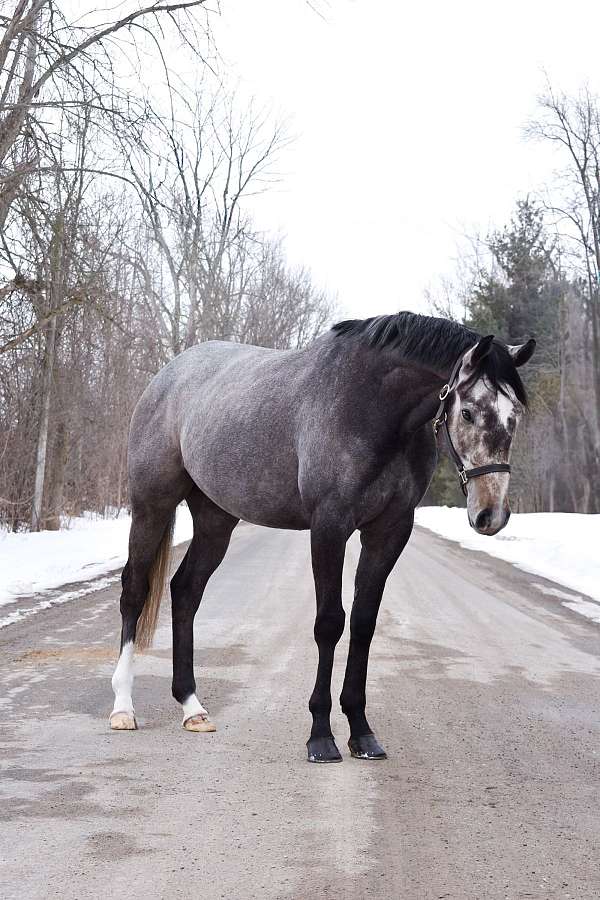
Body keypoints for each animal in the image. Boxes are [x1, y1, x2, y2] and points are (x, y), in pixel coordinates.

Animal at [110, 312, 536, 764]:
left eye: (514, 416)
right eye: (469, 412)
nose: (490, 515)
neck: (370, 407)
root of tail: (167, 377)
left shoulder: (389, 531)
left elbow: (364, 623)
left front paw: (362, 733)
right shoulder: (329, 527)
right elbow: (329, 623)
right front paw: (321, 736)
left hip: (215, 520)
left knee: (186, 590)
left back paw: (192, 706)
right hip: (152, 504)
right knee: (135, 590)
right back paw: (123, 707)